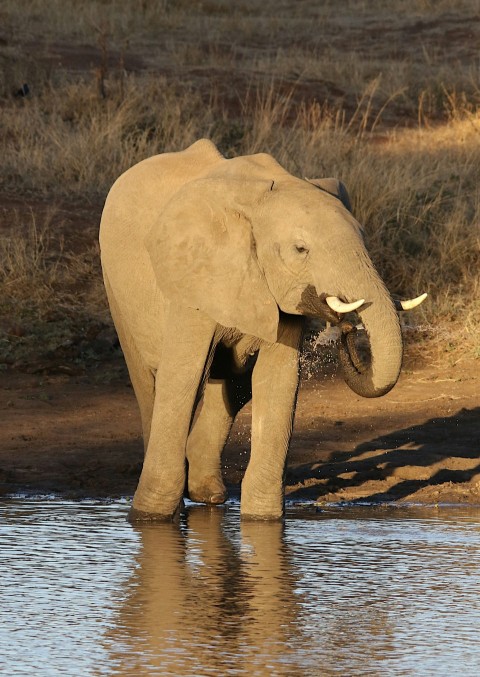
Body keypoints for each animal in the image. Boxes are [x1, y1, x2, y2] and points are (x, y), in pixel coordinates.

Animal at [99, 136, 426, 516]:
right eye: (300, 249)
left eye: (364, 237)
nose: (345, 327)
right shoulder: (193, 281)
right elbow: (183, 376)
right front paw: (150, 517)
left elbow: (278, 379)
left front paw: (263, 520)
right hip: (117, 288)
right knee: (150, 381)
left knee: (235, 383)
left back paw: (208, 494)